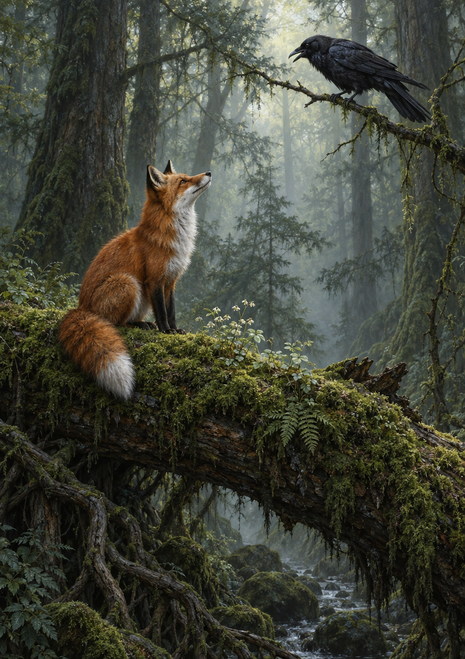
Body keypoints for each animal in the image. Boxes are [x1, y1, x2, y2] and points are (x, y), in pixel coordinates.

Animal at [59, 161, 211, 401]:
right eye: (183, 181)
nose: (209, 172)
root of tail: (81, 308)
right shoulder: (154, 280)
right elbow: (162, 313)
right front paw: (165, 332)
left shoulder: (171, 281)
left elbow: (171, 310)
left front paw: (175, 330)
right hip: (128, 283)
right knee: (115, 323)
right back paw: (140, 325)